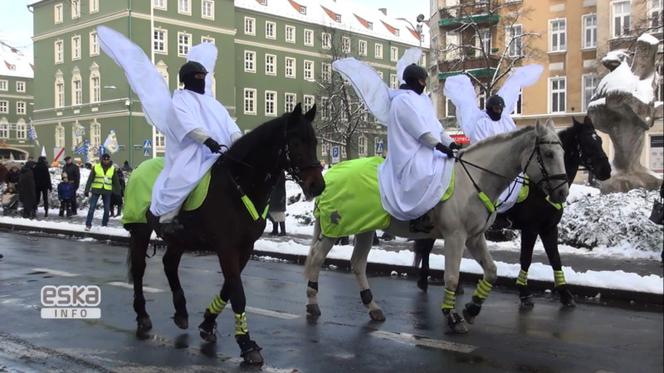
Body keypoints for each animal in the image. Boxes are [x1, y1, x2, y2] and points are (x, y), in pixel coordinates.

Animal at [123, 103, 326, 364]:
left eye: (315, 141)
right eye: (296, 141)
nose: (317, 185)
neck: (238, 183)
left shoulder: (245, 248)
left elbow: (229, 287)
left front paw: (208, 323)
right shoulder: (227, 248)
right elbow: (237, 292)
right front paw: (246, 344)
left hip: (179, 238)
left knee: (169, 264)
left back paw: (181, 311)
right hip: (140, 231)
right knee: (139, 270)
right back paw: (142, 315)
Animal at [304, 119, 568, 332]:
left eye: (563, 152)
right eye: (548, 154)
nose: (562, 193)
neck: (473, 181)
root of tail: (330, 176)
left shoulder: (475, 237)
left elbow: (492, 271)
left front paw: (472, 308)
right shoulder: (455, 236)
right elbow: (451, 277)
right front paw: (453, 316)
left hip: (365, 229)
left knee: (357, 264)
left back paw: (373, 307)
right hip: (335, 229)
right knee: (317, 258)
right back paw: (312, 304)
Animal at [416, 117, 612, 310]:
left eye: (600, 141)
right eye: (587, 143)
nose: (607, 171)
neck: (538, 189)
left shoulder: (549, 228)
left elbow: (555, 258)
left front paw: (565, 294)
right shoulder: (531, 229)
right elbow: (526, 258)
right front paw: (524, 294)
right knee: (426, 248)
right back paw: (426, 281)